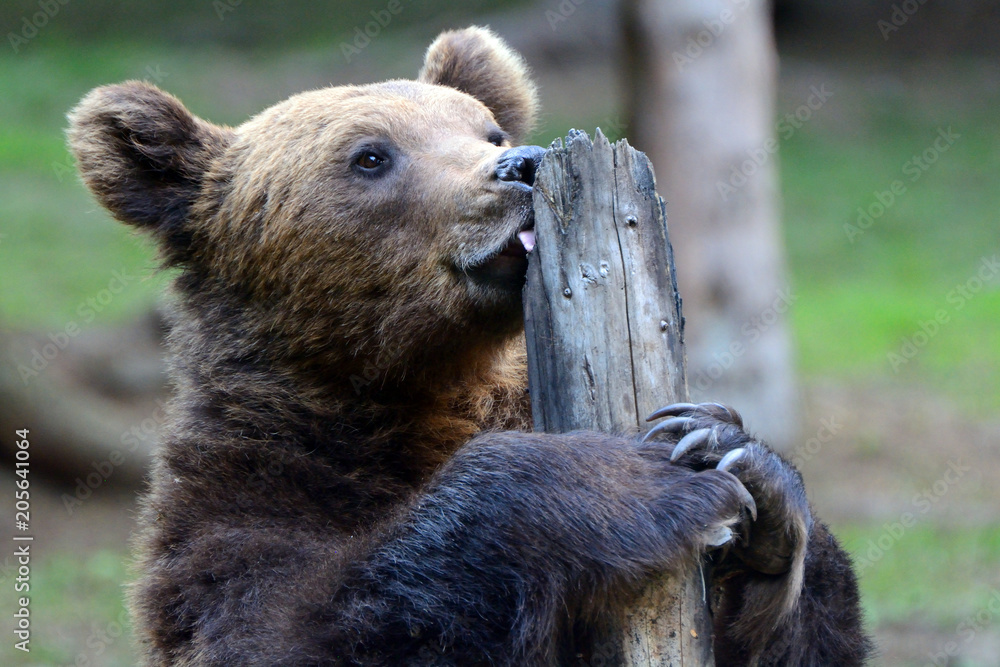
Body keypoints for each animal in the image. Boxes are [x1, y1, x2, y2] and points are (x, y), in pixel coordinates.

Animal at [68, 26, 872, 666]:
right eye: (370, 155)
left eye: (487, 130)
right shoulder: (232, 512)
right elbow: (300, 628)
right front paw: (627, 479)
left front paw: (734, 462)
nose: (521, 164)